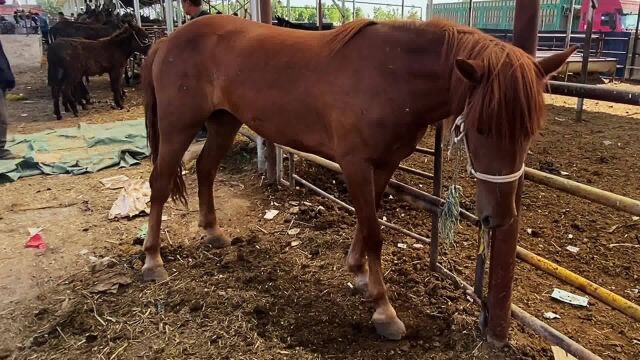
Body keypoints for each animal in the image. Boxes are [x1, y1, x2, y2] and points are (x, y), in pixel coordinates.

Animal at [141, 14, 576, 340]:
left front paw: (359, 274)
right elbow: (374, 232)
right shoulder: (354, 163)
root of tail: (168, 40)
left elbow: (368, 226)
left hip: (223, 121)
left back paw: (212, 232)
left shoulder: (383, 164)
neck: (392, 74)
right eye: (480, 128)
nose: (499, 218)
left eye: (530, 130)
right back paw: (153, 262)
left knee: (205, 169)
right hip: (180, 125)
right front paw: (384, 311)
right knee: (159, 184)